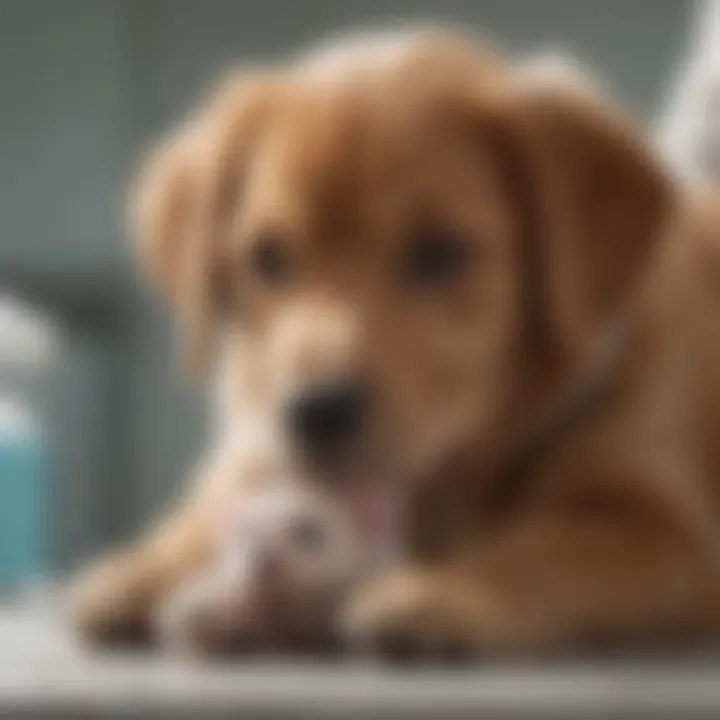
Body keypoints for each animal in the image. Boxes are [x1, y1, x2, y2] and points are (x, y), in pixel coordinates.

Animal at [73, 28, 720, 660]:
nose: (317, 411)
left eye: (439, 253)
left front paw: (443, 590)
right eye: (268, 257)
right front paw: (146, 568)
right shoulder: (257, 437)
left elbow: (542, 552)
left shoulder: (668, 535)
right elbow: (210, 506)